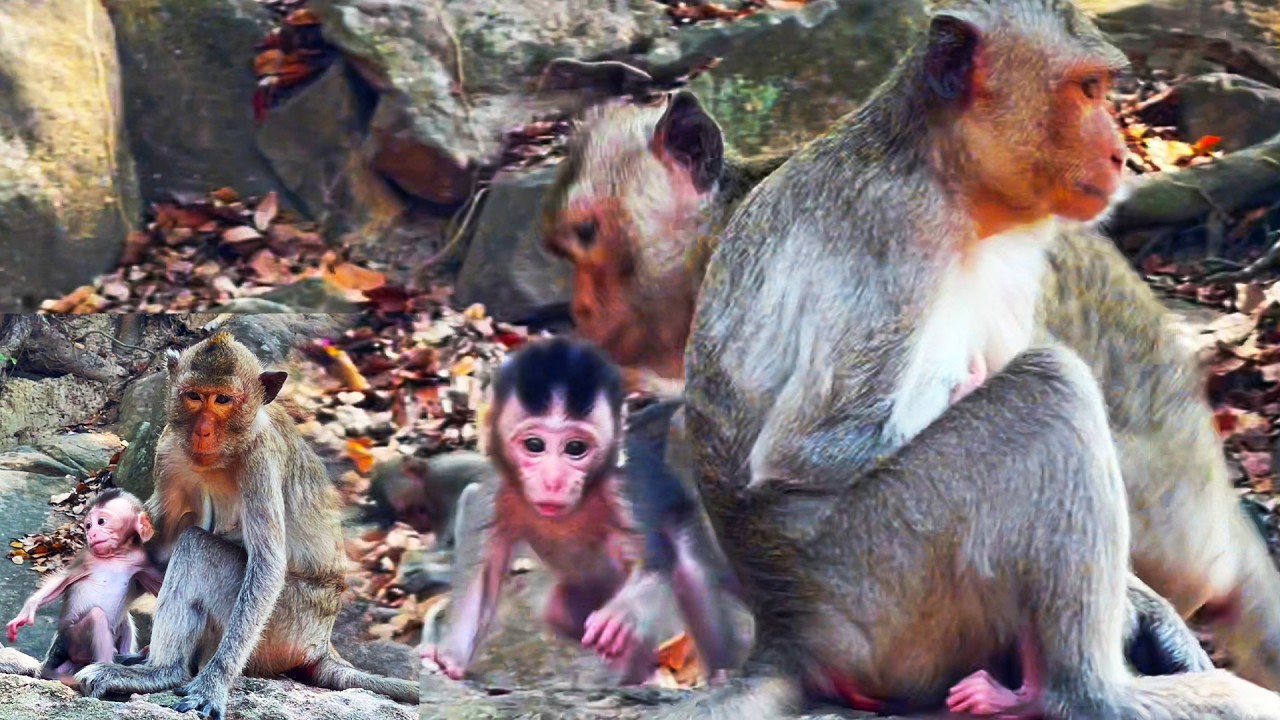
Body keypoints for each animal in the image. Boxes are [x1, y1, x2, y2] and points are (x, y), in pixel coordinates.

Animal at [6, 489, 163, 685]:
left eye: (101, 522)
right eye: (88, 525)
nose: (92, 534)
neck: (117, 555)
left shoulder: (141, 559)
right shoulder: (87, 558)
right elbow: (63, 581)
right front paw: (28, 609)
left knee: (124, 620)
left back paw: (126, 656)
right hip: (73, 641)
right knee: (97, 617)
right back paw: (105, 665)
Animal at [73, 331, 416, 720]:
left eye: (223, 400)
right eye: (194, 396)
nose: (203, 431)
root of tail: (321, 643)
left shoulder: (260, 460)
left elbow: (266, 565)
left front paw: (213, 684)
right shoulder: (168, 450)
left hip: (283, 628)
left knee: (198, 546)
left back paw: (162, 671)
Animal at [421, 337, 750, 684]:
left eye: (575, 448)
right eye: (534, 445)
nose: (554, 481)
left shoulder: (620, 487)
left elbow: (657, 555)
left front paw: (624, 612)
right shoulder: (500, 487)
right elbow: (480, 561)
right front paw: (450, 657)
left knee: (688, 572)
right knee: (557, 611)